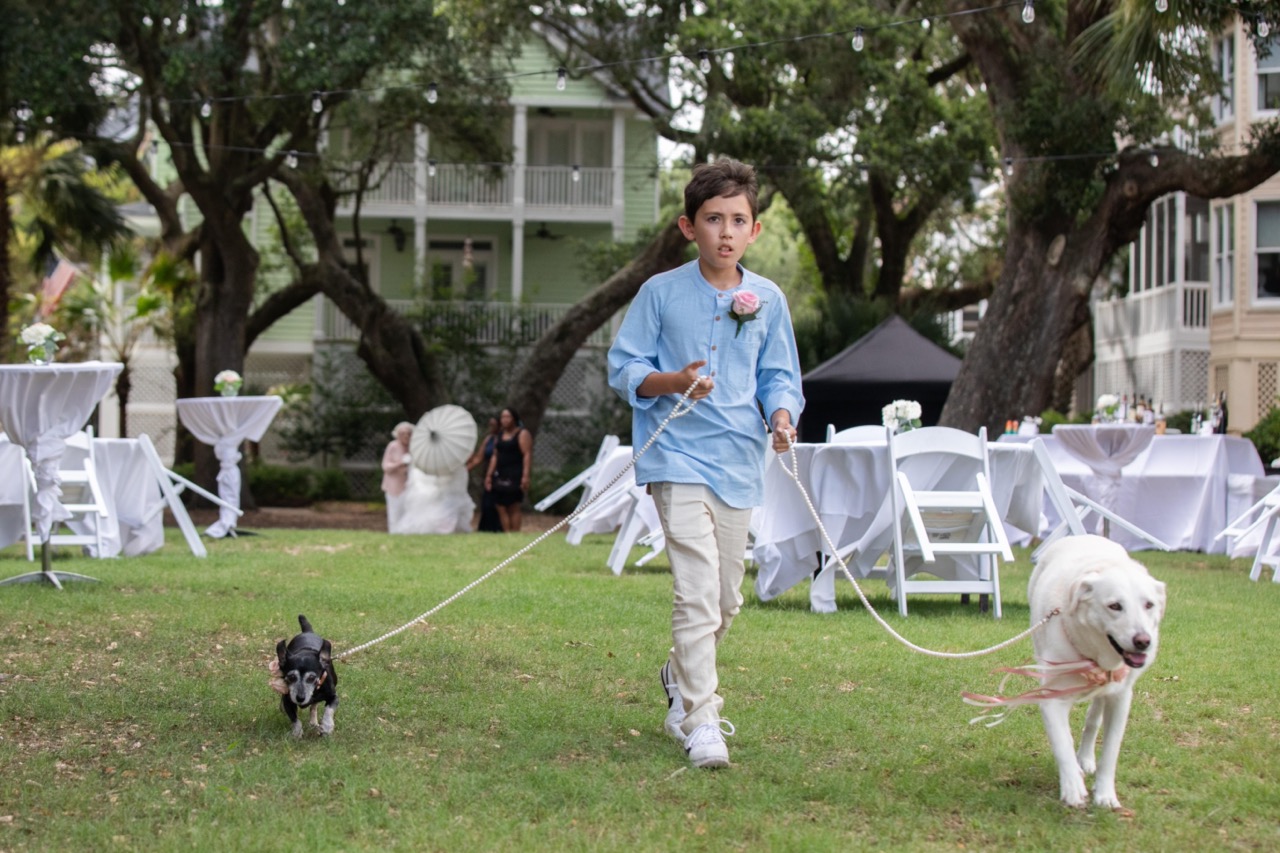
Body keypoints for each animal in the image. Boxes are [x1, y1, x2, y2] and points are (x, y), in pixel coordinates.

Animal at [1024, 535, 1167, 809]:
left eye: (1149, 605)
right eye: (1115, 606)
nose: (1143, 641)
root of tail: (1084, 536)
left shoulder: (1120, 698)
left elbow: (1110, 751)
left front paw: (1105, 794)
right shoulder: (1051, 699)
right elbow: (1062, 743)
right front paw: (1073, 787)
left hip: (1105, 692)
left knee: (1093, 721)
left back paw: (1086, 758)